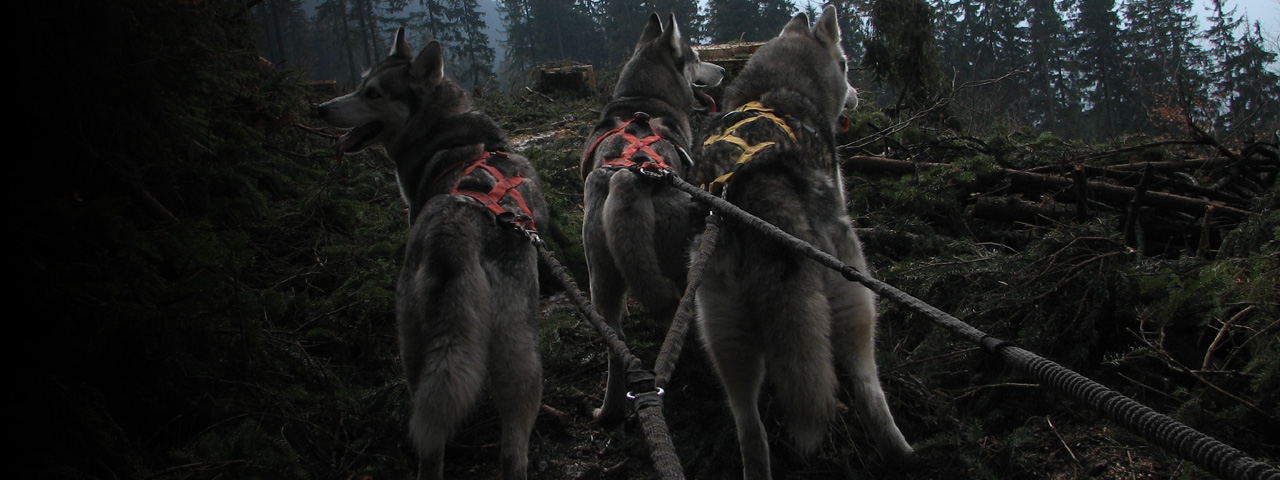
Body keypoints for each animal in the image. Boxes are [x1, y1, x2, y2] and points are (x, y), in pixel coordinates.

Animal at [316, 28, 548, 480]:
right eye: (360, 83)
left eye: (372, 92)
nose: (321, 108)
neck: (442, 128)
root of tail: (458, 225)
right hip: (511, 354)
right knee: (504, 452)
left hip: (422, 345)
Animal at [580, 13, 724, 427]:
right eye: (695, 58)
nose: (724, 69)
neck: (641, 102)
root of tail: (630, 178)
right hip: (681, 262)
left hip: (600, 275)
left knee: (615, 346)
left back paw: (609, 411)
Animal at [690, 7, 913, 479]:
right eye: (845, 64)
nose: (856, 97)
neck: (775, 91)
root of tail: (760, 185)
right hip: (854, 291)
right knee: (866, 383)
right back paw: (901, 452)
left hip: (721, 329)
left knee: (749, 425)